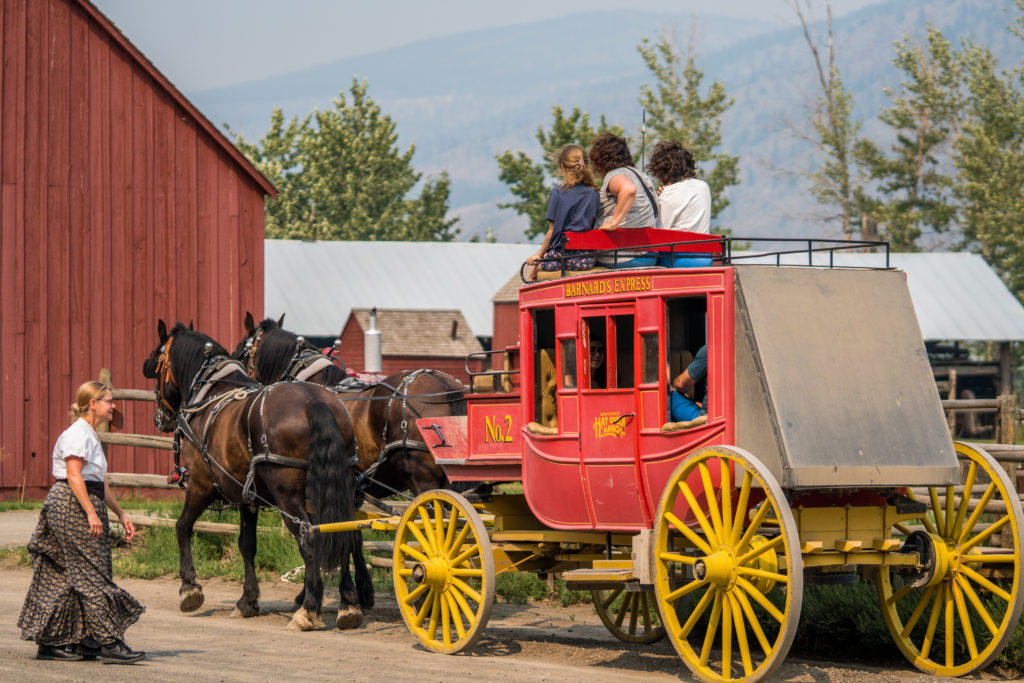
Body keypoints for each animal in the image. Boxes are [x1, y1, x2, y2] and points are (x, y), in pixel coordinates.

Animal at [142, 323, 366, 634]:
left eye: (157, 362)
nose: (158, 418)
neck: (211, 392)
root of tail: (315, 402)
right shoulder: (247, 497)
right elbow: (247, 545)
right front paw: (247, 600)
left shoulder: (201, 485)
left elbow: (182, 526)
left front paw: (189, 588)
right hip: (336, 488)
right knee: (345, 532)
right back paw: (349, 605)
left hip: (287, 496)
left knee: (309, 538)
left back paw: (309, 610)